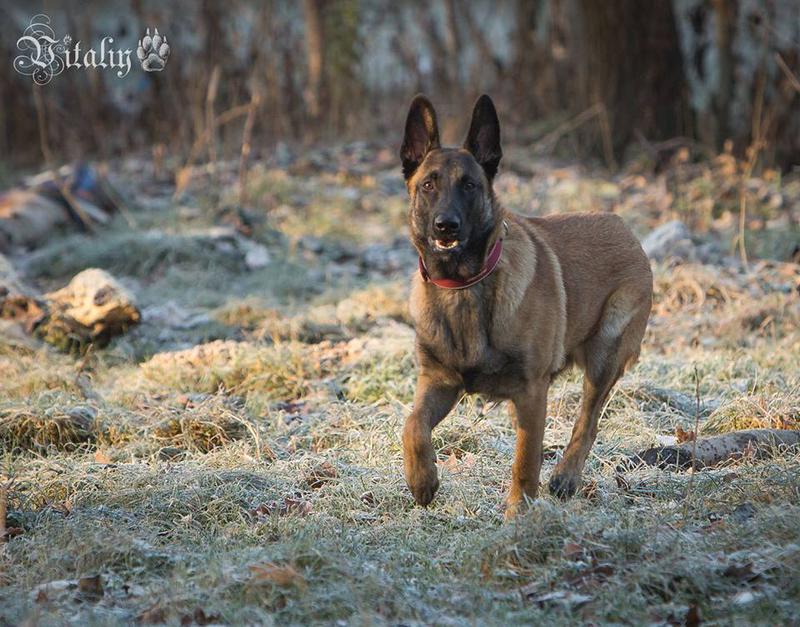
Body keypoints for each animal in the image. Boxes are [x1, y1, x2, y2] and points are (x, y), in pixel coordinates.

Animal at [396, 94, 652, 516]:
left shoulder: (532, 390)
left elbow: (526, 460)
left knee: (588, 422)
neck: (463, 286)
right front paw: (423, 481)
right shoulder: (439, 382)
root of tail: (622, 225)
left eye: (469, 185)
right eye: (429, 184)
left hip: (605, 354)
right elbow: (412, 426)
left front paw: (519, 515)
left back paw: (565, 477)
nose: (445, 225)